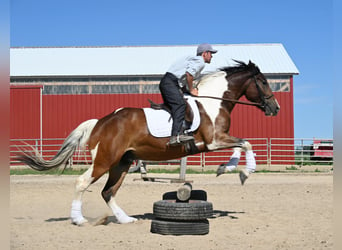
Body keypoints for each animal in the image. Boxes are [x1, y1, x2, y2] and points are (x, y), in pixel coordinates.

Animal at [16, 60, 280, 225]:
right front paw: (244, 172)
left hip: (121, 163)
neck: (213, 101)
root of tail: (101, 122)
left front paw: (227, 168)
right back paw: (78, 219)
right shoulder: (214, 141)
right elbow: (245, 143)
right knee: (83, 183)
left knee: (108, 191)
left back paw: (125, 219)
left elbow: (241, 145)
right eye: (264, 82)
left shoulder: (215, 142)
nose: (275, 108)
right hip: (105, 160)